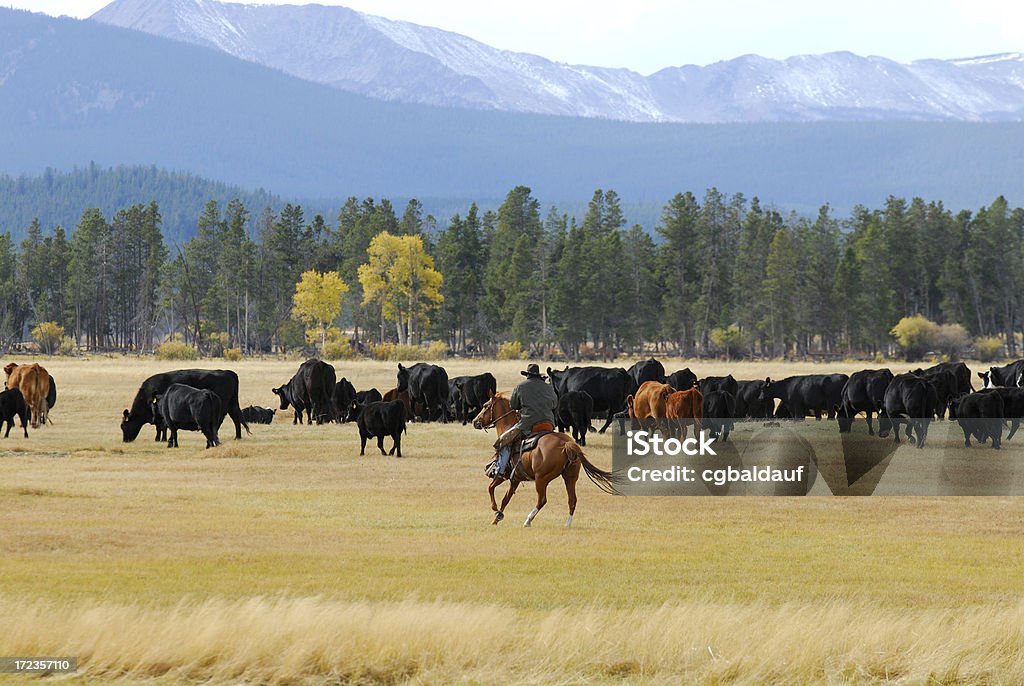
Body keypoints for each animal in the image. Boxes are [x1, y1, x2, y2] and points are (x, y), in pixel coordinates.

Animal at [473, 389, 614, 528]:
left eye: (485, 405)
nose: (475, 421)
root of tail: (567, 444)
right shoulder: (515, 479)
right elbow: (505, 499)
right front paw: (497, 518)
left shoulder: (504, 476)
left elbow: (491, 488)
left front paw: (495, 510)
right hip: (570, 477)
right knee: (572, 500)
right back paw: (567, 524)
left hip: (541, 479)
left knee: (542, 500)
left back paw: (528, 521)